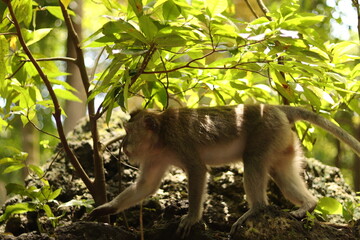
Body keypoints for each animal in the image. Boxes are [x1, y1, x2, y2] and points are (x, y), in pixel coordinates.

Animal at [88, 104, 360, 237]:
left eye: (128, 132)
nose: (124, 144)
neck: (161, 137)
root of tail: (278, 108)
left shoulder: (180, 142)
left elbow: (198, 170)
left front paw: (191, 218)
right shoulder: (156, 157)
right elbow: (146, 186)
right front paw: (106, 209)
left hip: (267, 131)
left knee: (253, 160)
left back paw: (256, 210)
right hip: (282, 139)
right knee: (281, 172)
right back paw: (308, 205)